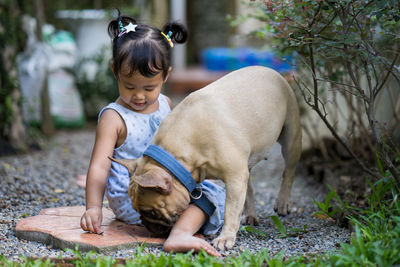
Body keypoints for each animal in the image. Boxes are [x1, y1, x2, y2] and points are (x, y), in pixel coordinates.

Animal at [111, 66, 302, 250]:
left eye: (151, 212)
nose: (146, 226)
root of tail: (272, 71)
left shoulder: (234, 178)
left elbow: (231, 211)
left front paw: (225, 238)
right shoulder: (236, 174)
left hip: (291, 138)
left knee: (289, 171)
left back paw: (283, 202)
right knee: (250, 188)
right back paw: (251, 215)